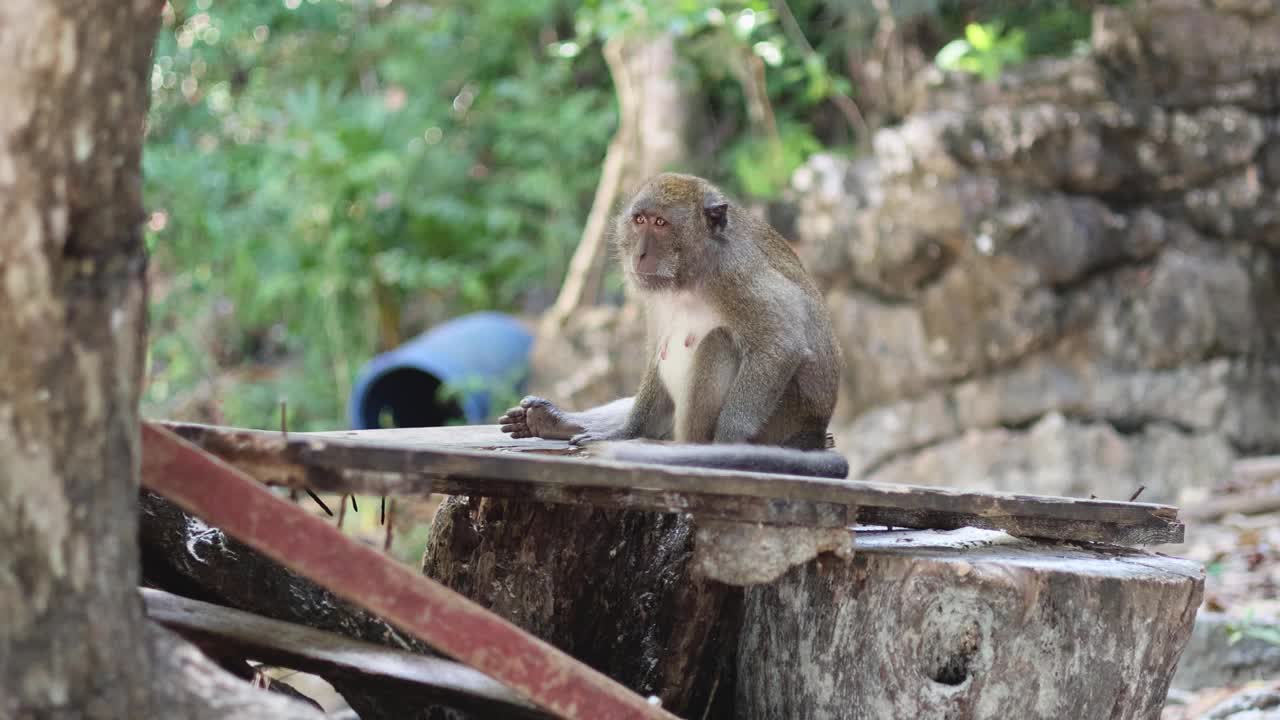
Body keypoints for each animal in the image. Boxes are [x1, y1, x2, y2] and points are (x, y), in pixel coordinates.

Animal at [501, 170, 849, 479]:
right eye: (640, 220)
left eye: (661, 223)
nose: (640, 254)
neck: (691, 274)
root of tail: (815, 433)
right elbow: (658, 352)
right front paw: (624, 432)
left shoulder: (738, 273)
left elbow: (781, 341)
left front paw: (729, 442)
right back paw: (555, 421)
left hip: (782, 419)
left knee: (719, 341)